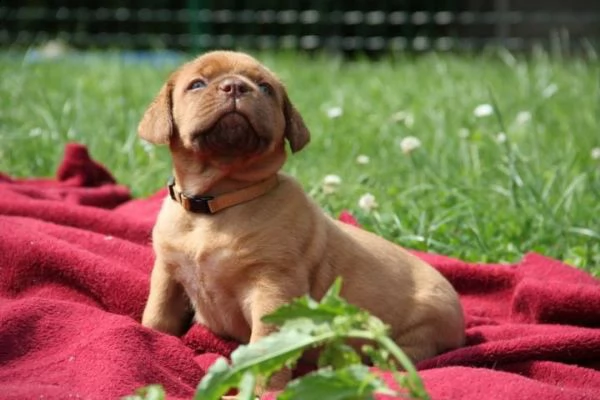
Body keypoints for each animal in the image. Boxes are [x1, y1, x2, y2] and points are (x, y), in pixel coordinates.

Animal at [139, 50, 464, 394]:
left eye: (265, 88)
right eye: (197, 84)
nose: (235, 87)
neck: (217, 204)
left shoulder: (274, 289)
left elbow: (265, 347)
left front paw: (262, 391)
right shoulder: (168, 274)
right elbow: (157, 316)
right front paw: (152, 340)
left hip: (419, 331)